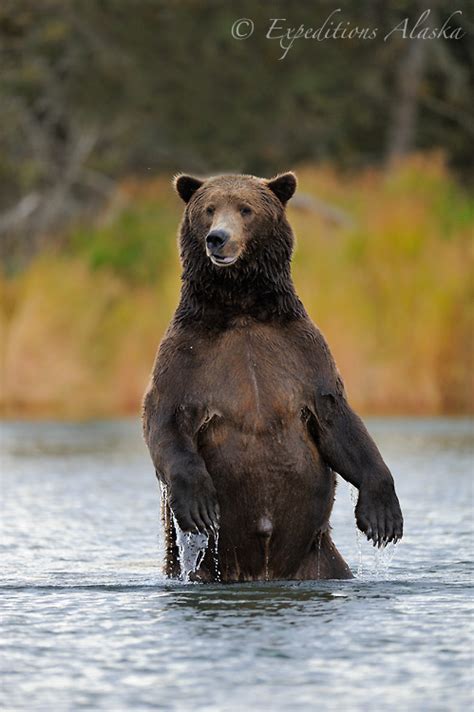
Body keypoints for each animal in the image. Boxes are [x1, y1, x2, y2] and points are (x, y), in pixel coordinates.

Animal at [143, 174, 402, 584]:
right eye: (209, 209)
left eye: (246, 209)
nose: (217, 238)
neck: (241, 308)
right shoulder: (186, 358)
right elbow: (165, 422)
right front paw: (200, 505)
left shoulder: (302, 353)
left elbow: (338, 421)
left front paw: (383, 517)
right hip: (203, 568)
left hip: (320, 559)